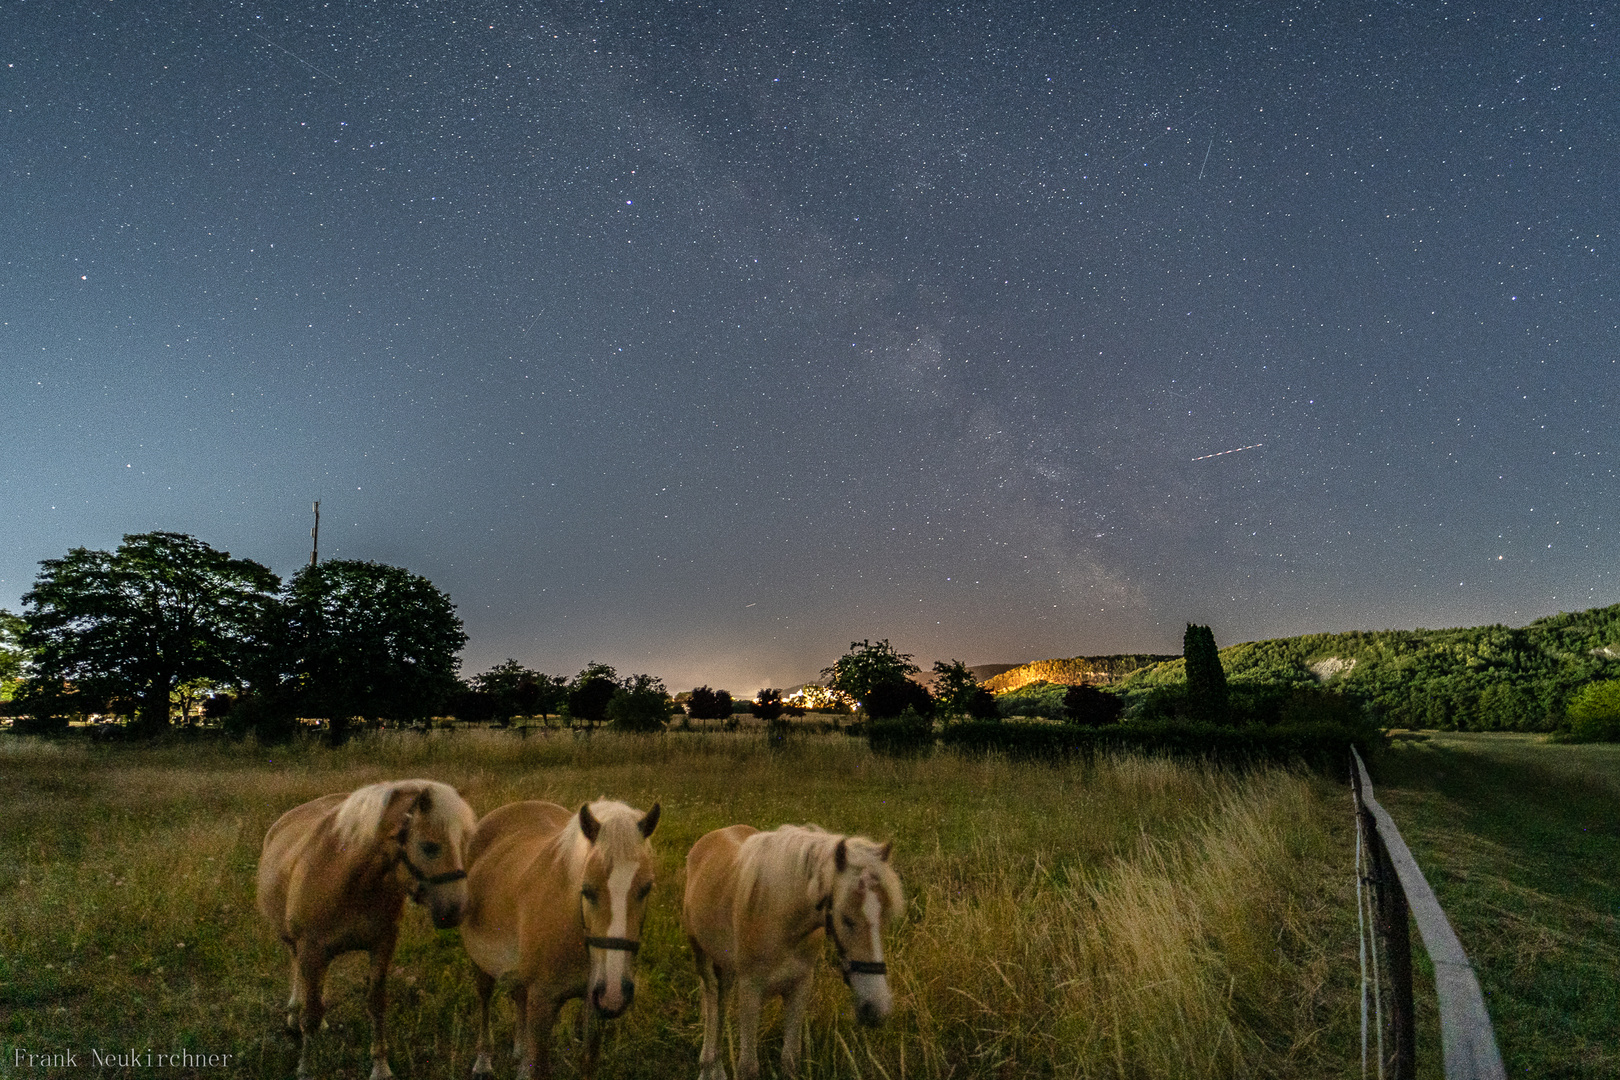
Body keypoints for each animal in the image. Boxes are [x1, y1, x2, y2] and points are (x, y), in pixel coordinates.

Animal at [255, 780, 473, 1080]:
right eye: (429, 847)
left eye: (464, 843)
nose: (456, 910)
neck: (347, 878)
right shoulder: (311, 949)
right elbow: (310, 1014)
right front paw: (305, 1067)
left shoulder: (382, 945)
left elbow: (375, 1004)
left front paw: (380, 1066)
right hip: (294, 942)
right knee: (296, 967)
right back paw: (292, 1014)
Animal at [456, 799, 657, 1075]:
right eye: (587, 890)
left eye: (646, 888)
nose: (615, 993)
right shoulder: (543, 1004)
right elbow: (541, 1067)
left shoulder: (593, 1005)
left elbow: (588, 1063)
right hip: (482, 962)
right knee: (485, 998)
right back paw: (484, 1061)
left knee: (520, 996)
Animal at [680, 822, 907, 1075]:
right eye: (846, 919)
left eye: (884, 918)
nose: (877, 1008)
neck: (781, 918)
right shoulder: (750, 991)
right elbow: (748, 1067)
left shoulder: (800, 987)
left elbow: (790, 1059)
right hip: (701, 953)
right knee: (711, 999)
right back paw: (708, 1066)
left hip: (726, 964)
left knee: (722, 998)